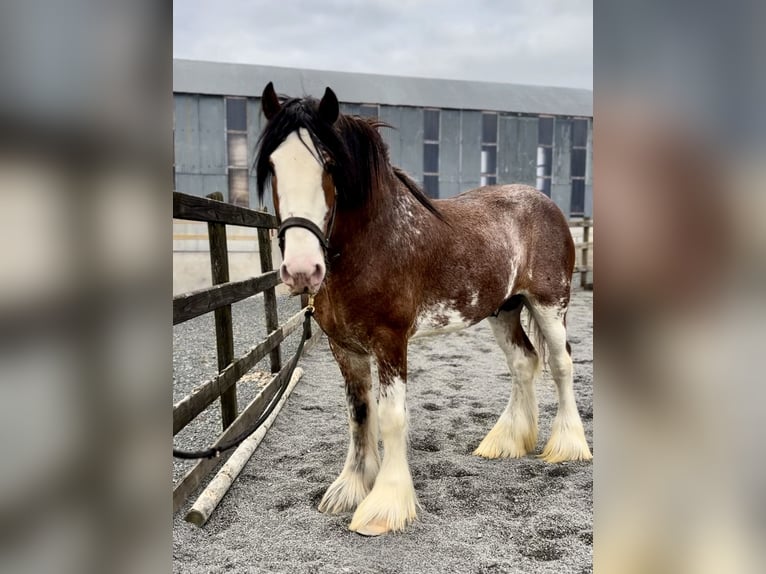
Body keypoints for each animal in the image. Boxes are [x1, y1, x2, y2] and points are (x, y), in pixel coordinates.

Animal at [256, 83, 592, 536]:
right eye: (273, 166)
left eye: (329, 165)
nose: (302, 270)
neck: (378, 241)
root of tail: (548, 205)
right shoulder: (344, 346)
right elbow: (359, 413)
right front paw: (351, 488)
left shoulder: (390, 341)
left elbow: (391, 416)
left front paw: (384, 506)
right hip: (503, 310)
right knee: (524, 362)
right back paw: (505, 442)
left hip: (549, 304)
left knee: (560, 363)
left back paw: (568, 445)